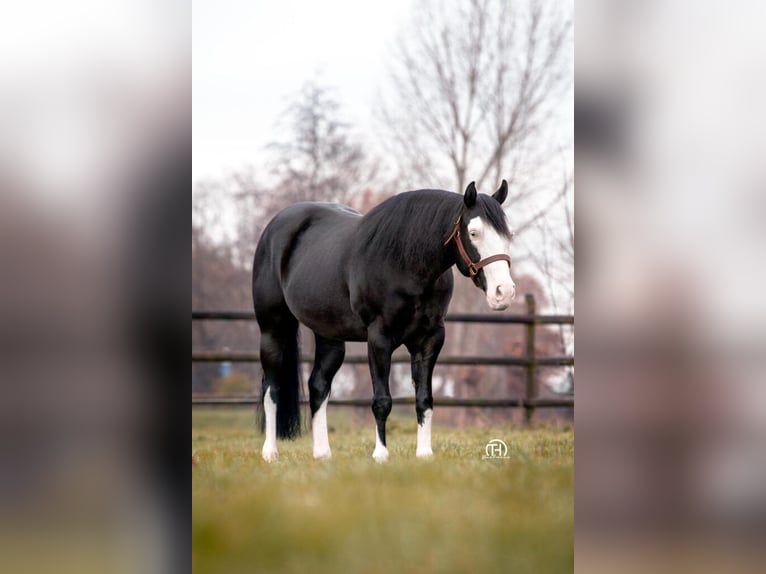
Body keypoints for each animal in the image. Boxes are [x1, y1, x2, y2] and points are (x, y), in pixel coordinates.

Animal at [254, 181, 516, 464]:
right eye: (474, 233)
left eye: (508, 234)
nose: (504, 292)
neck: (405, 264)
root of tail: (275, 226)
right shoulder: (379, 338)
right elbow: (382, 400)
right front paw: (380, 455)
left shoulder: (430, 339)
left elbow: (424, 399)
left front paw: (424, 454)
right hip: (273, 329)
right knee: (272, 388)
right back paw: (270, 452)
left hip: (330, 336)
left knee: (318, 386)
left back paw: (322, 453)